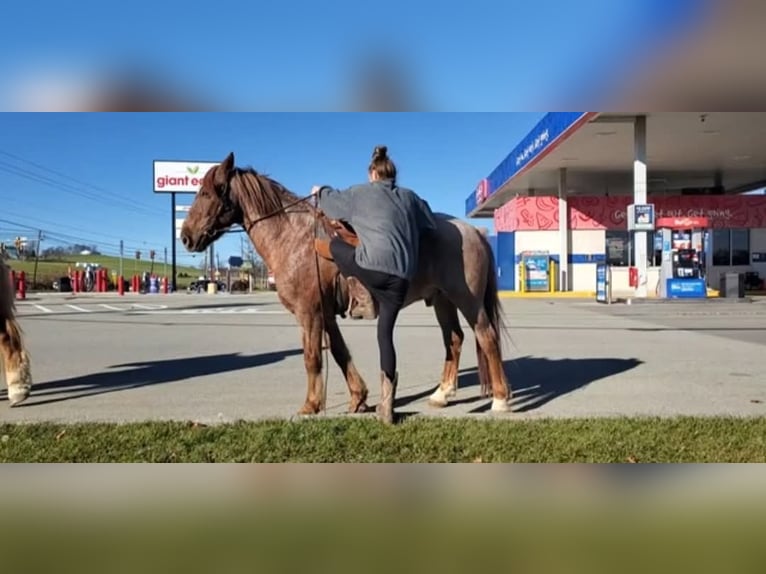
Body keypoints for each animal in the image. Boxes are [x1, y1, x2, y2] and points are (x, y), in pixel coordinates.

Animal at [182, 153, 512, 424]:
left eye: (206, 192)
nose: (186, 236)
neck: (296, 239)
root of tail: (475, 231)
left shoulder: (310, 313)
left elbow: (312, 358)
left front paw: (311, 405)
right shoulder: (325, 314)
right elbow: (340, 353)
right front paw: (358, 399)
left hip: (467, 301)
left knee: (486, 337)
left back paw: (500, 400)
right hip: (442, 301)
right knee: (453, 340)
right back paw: (442, 394)